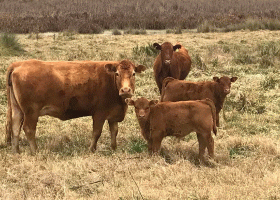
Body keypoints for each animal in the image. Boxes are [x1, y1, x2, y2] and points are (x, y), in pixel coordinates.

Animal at [6, 58, 147, 154]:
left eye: (133, 73)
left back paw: (16, 151)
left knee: (15, 127)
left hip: (17, 109)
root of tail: (18, 64)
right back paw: (35, 151)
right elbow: (96, 132)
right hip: (31, 111)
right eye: (117, 73)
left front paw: (114, 148)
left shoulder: (113, 114)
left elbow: (114, 131)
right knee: (28, 129)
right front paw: (91, 149)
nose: (126, 90)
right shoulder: (99, 113)